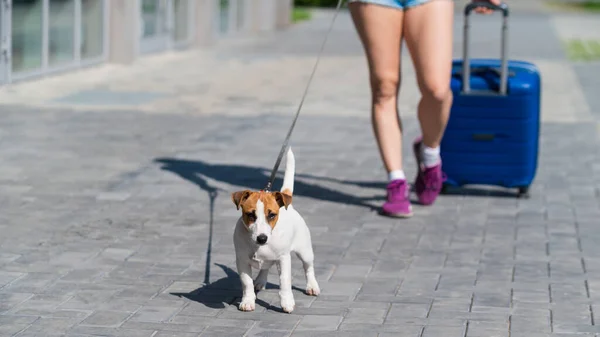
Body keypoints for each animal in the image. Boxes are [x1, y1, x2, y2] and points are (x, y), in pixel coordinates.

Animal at [230, 148, 318, 312]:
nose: (262, 238)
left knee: (308, 267)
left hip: (305, 250)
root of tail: (289, 206)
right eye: (250, 215)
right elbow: (246, 282)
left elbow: (284, 281)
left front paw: (287, 302)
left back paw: (312, 286)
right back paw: (260, 281)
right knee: (264, 268)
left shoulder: (283, 259)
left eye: (271, 215)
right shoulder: (242, 261)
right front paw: (248, 301)